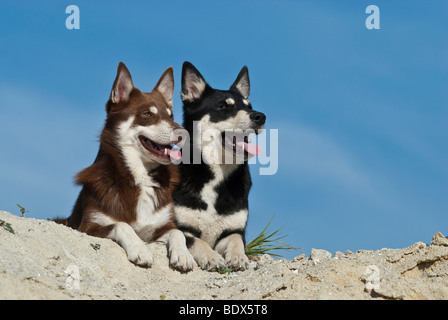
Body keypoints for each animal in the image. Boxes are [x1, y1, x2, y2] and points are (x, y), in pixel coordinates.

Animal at [55, 62, 195, 270]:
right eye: (147, 114)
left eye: (171, 116)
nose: (183, 133)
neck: (141, 178)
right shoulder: (88, 226)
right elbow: (122, 225)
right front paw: (140, 250)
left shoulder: (161, 227)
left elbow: (178, 233)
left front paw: (183, 254)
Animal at [172, 62, 264, 270]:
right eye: (223, 106)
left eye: (249, 106)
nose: (260, 117)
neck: (217, 175)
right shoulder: (180, 226)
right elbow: (196, 240)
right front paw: (211, 256)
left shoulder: (233, 230)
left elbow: (236, 240)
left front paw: (238, 256)